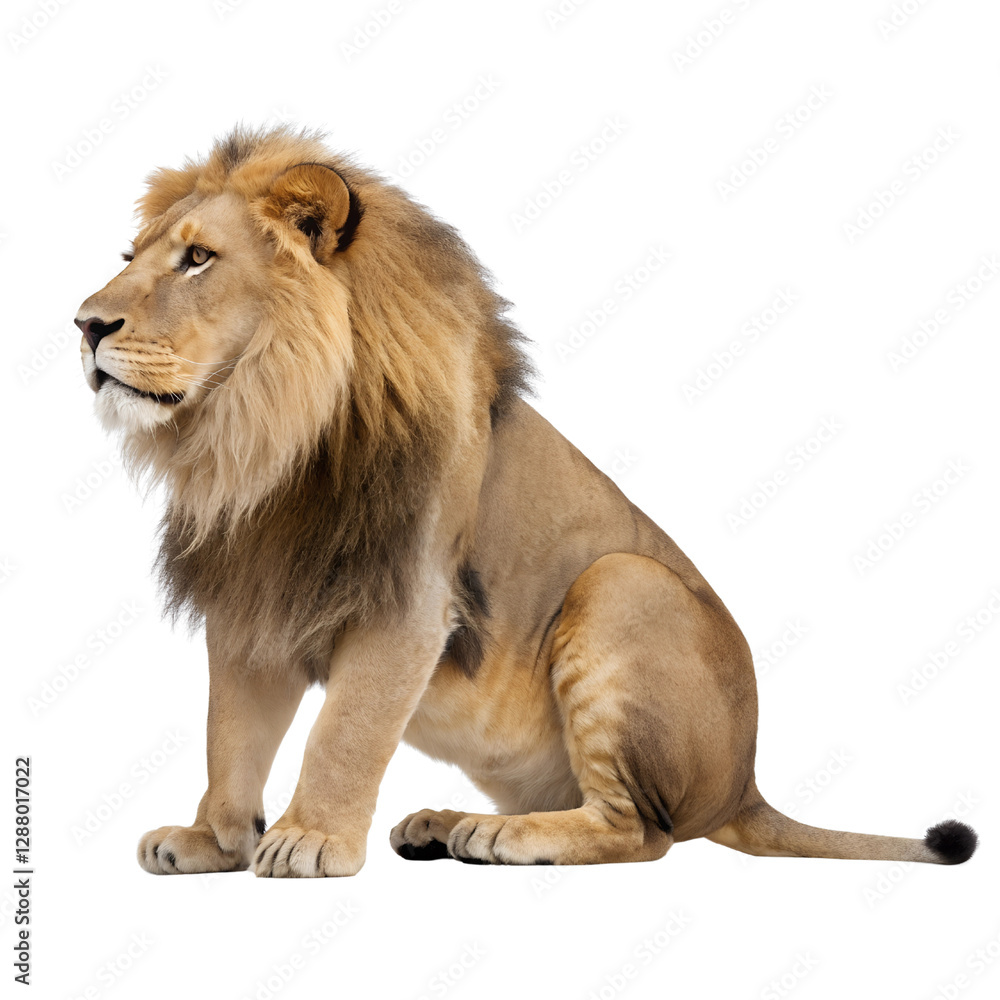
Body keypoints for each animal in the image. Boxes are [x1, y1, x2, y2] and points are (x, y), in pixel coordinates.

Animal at [76, 126, 976, 876]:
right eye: (130, 253)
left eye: (198, 258)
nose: (84, 325)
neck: (260, 437)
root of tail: (746, 783)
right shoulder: (254, 598)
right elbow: (228, 735)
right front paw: (212, 840)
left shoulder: (408, 601)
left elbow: (345, 732)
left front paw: (310, 840)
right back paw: (442, 824)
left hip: (621, 583)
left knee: (641, 832)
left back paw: (498, 837)